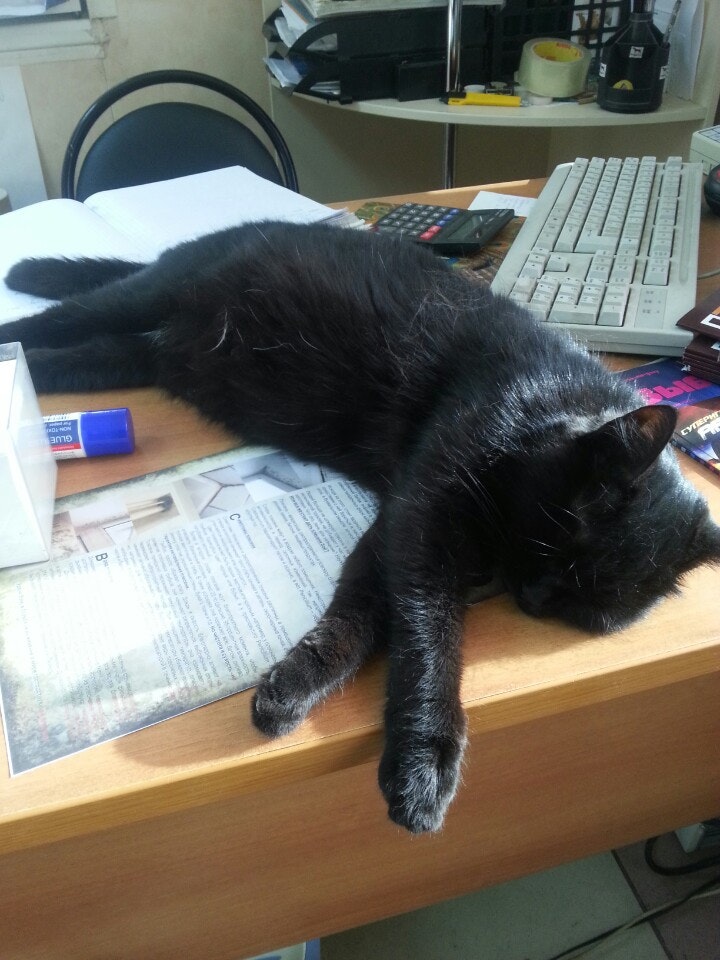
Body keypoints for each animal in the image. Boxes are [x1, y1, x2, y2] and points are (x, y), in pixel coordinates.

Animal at [3, 220, 720, 834]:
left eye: (587, 606)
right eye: (559, 541)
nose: (536, 599)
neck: (549, 403)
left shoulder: (398, 523)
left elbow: (359, 611)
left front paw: (294, 688)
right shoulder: (424, 517)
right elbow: (430, 638)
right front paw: (425, 761)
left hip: (139, 359)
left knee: (74, 356)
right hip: (145, 295)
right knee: (59, 316)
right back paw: (22, 301)